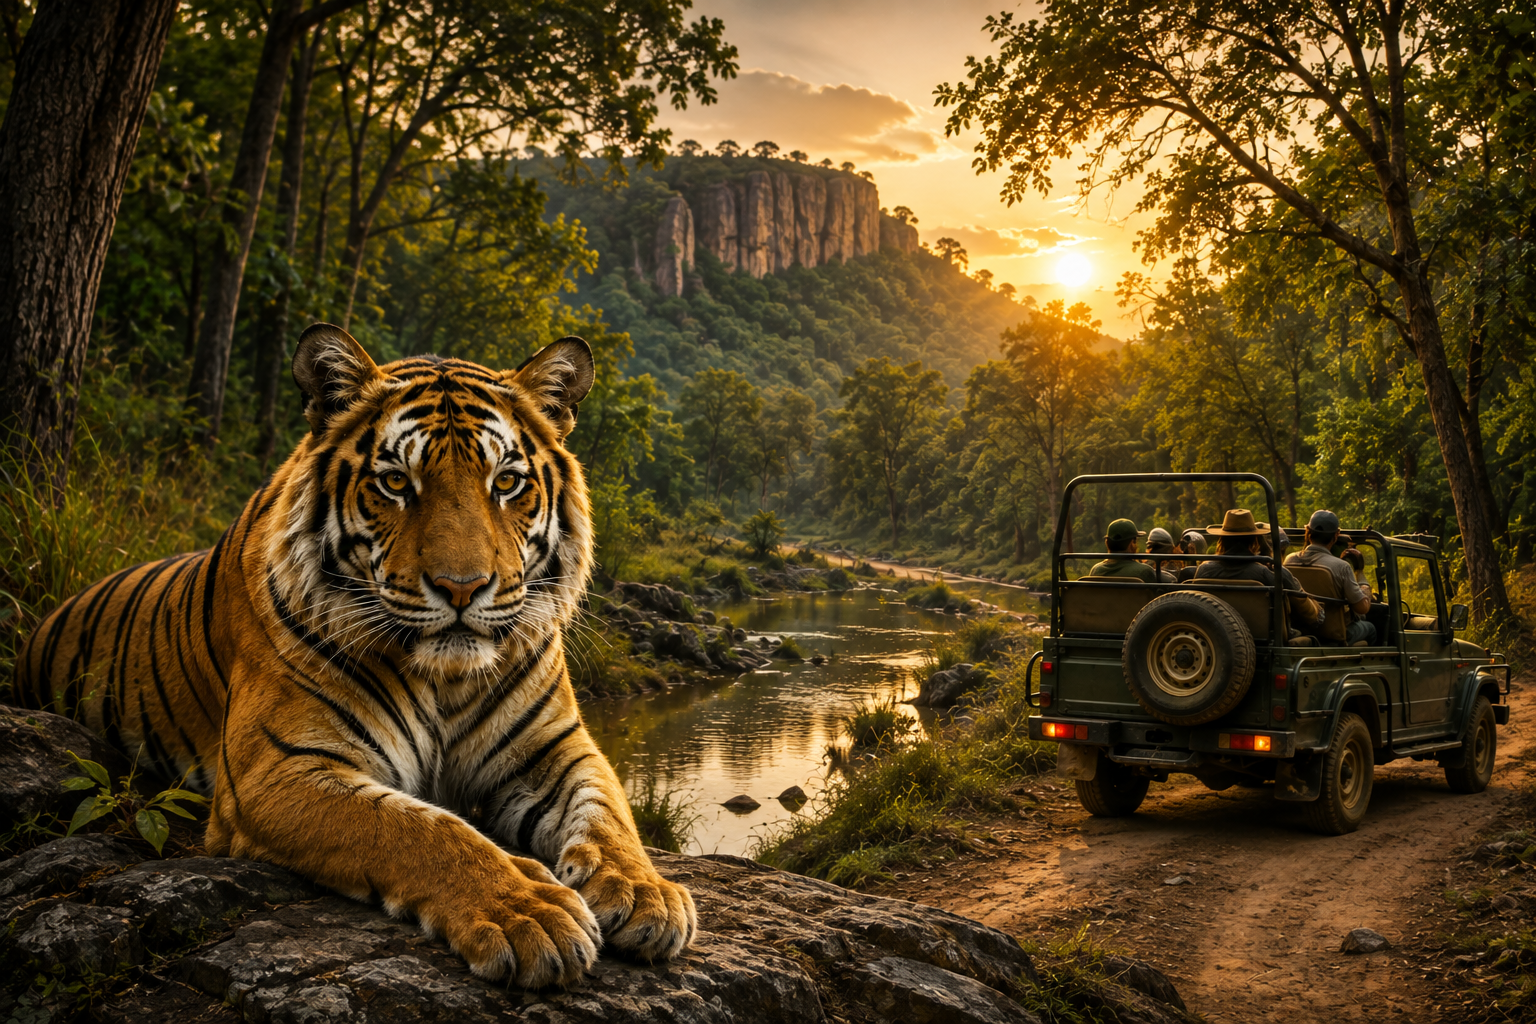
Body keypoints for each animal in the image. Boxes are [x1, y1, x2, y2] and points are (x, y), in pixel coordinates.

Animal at [15, 323, 695, 988]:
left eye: (506, 482)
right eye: (395, 482)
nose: (462, 587)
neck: (447, 679)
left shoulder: (554, 748)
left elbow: (609, 812)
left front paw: (646, 893)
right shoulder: (280, 767)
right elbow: (421, 830)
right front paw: (529, 910)